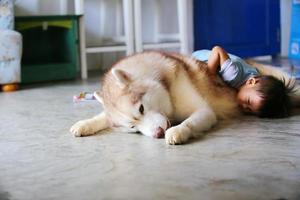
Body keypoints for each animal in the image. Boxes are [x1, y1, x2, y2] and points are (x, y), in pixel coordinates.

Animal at [71, 51, 300, 145]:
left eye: (142, 109)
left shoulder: (205, 111)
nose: (157, 134)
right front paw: (84, 124)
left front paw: (177, 131)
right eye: (132, 127)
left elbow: (190, 122)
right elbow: (101, 117)